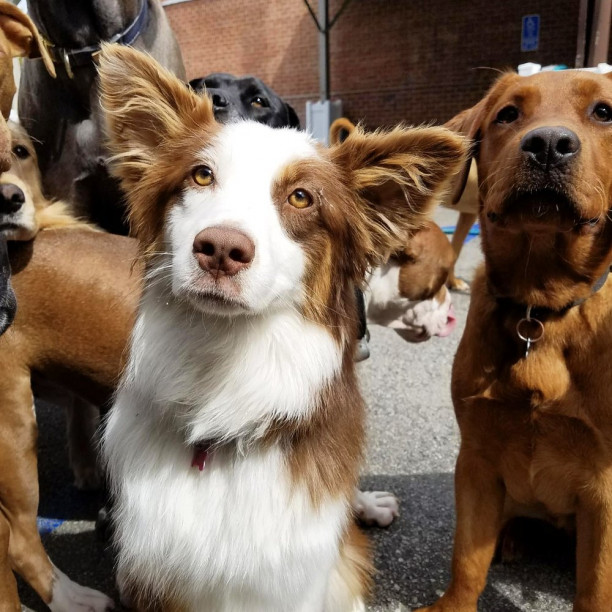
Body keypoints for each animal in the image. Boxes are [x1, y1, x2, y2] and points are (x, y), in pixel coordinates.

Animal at [418, 69, 612, 608]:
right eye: (508, 114)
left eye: (604, 112)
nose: (548, 145)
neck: (540, 307)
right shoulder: (478, 457)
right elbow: (467, 559)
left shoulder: (606, 486)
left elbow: (596, 585)